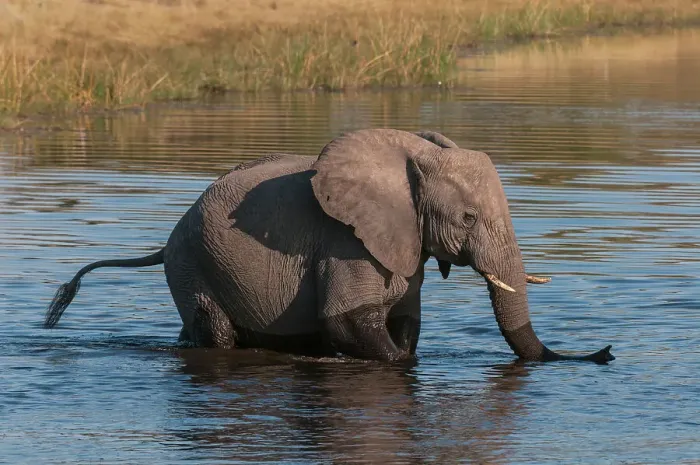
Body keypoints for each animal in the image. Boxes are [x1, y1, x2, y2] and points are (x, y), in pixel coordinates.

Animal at [44, 128, 614, 364]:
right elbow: (349, 323)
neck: (413, 155)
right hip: (192, 263)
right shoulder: (346, 240)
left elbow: (405, 322)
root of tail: (163, 245)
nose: (606, 352)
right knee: (217, 335)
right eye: (469, 218)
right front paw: (397, 364)